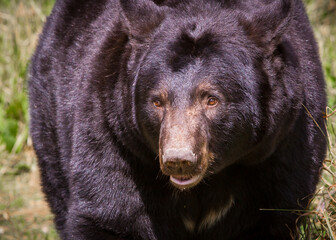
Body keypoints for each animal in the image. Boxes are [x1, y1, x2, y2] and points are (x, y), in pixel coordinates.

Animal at [27, 0, 326, 239]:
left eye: (211, 99)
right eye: (157, 101)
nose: (179, 159)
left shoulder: (283, 147)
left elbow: (273, 212)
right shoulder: (112, 136)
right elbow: (110, 213)